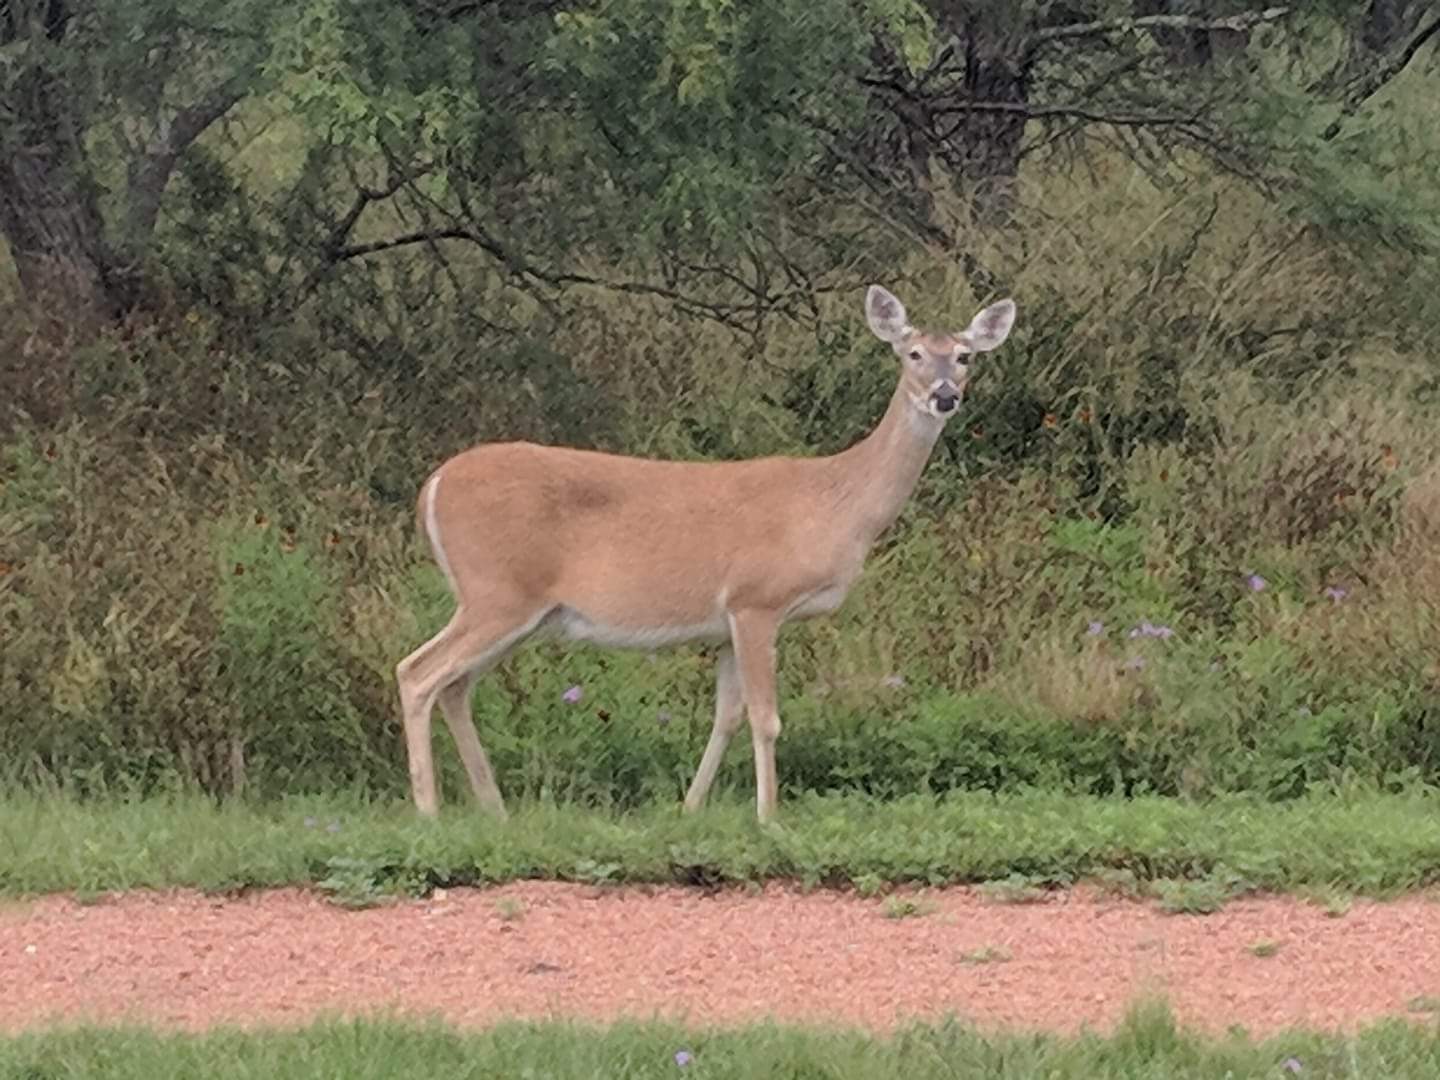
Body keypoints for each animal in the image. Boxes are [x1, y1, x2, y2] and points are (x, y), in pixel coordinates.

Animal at [395, 284, 1017, 822]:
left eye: (964, 356)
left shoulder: (723, 626)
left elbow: (727, 717)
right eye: (912, 353)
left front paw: (690, 808)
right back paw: (429, 811)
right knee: (417, 672)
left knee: (455, 685)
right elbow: (766, 718)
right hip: (497, 591)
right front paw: (770, 819)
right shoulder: (756, 600)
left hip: (518, 610)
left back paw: (493, 810)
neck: (836, 502)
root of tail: (432, 486)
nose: (944, 395)